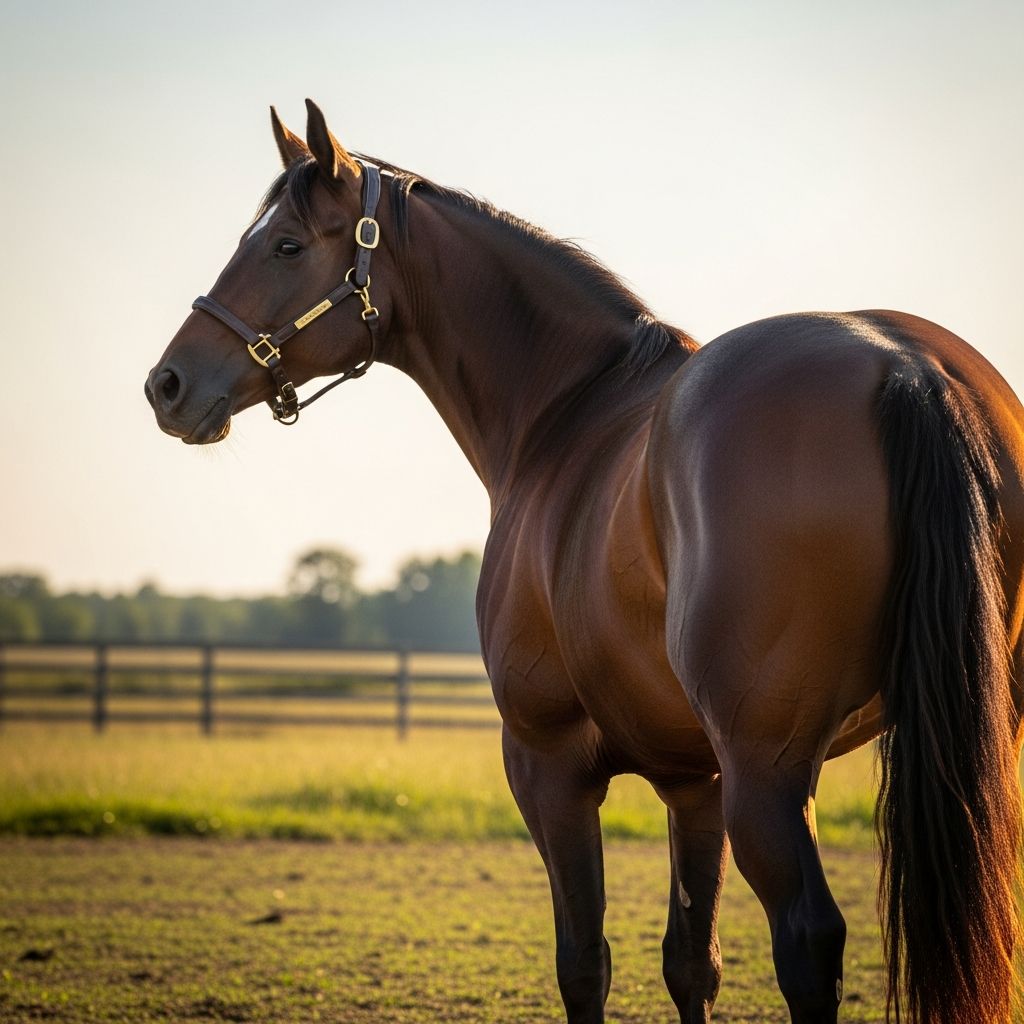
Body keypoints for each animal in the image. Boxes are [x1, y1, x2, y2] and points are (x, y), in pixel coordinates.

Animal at [145, 99, 1024, 1024]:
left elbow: (583, 962)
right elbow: (690, 962)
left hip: (769, 770)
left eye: (284, 245)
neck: (565, 411)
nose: (166, 384)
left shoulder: (550, 765)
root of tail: (905, 367)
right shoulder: (694, 781)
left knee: (808, 942)